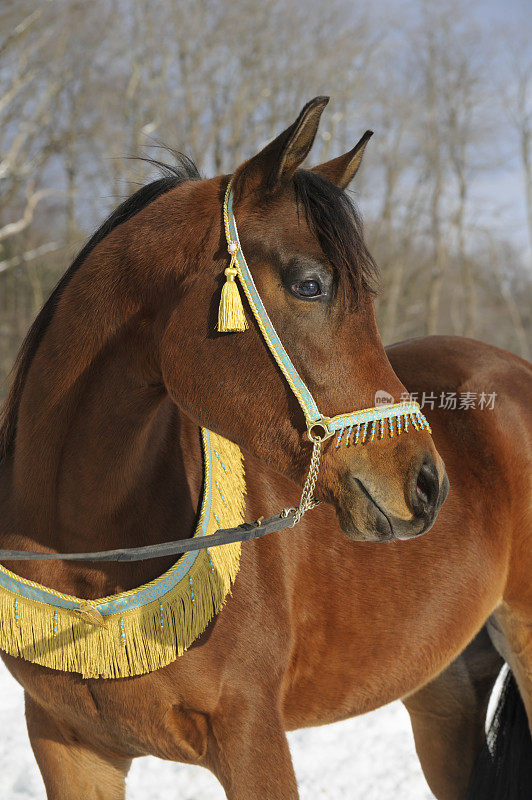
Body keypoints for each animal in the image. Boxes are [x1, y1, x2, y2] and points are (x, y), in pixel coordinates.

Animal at [0, 100, 528, 800]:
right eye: (309, 285)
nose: (427, 484)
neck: (87, 561)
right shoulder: (68, 746)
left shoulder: (252, 738)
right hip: (445, 689)